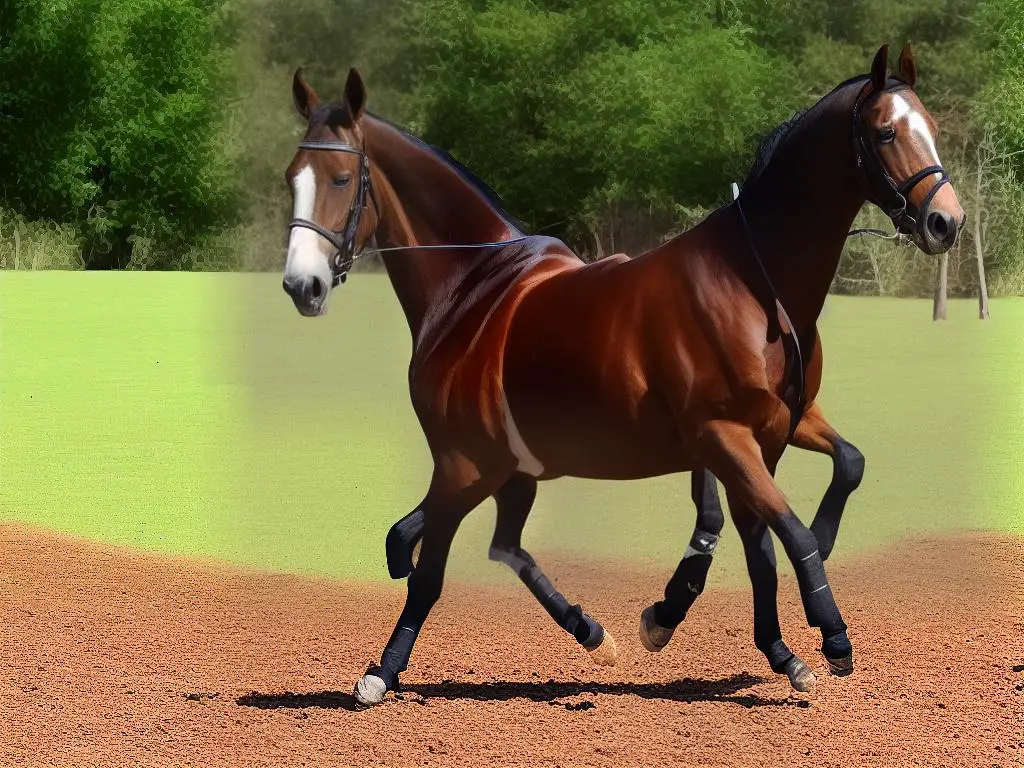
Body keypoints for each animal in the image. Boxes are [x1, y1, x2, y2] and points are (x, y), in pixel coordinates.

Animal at [280, 43, 958, 708]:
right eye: (885, 131)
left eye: (929, 127)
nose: (944, 221)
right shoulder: (718, 437)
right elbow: (783, 532)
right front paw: (830, 633)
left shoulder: (771, 430)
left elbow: (816, 494)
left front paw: (782, 643)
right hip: (482, 467)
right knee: (467, 554)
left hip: (504, 470)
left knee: (500, 542)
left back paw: (590, 629)